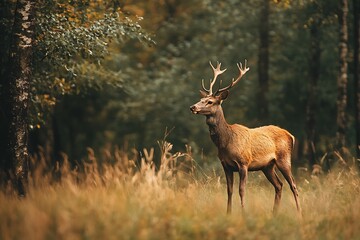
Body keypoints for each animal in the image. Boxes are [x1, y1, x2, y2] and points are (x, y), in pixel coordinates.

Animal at [191, 60, 300, 214]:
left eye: (210, 102)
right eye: (201, 99)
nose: (193, 107)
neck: (225, 142)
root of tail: (291, 135)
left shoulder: (244, 163)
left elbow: (241, 190)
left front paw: (243, 213)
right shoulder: (226, 165)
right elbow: (229, 190)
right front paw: (228, 213)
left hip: (284, 158)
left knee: (293, 185)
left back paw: (299, 213)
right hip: (267, 166)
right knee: (279, 185)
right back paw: (274, 213)